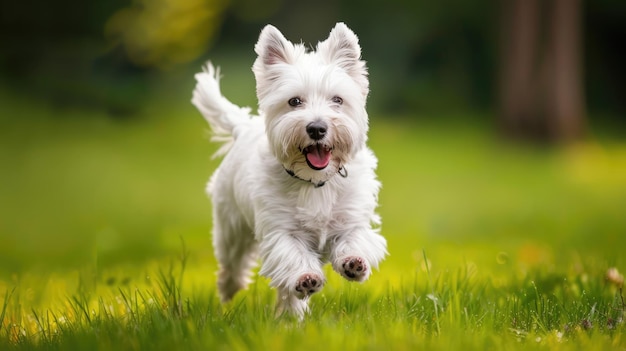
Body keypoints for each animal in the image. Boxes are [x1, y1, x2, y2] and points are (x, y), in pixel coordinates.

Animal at [190, 22, 386, 320]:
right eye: (294, 101)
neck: (315, 181)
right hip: (231, 227)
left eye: (337, 99)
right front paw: (307, 278)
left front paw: (353, 262)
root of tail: (243, 127)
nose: (317, 128)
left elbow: (355, 239)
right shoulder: (281, 231)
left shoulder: (351, 219)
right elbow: (293, 258)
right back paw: (234, 296)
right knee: (233, 265)